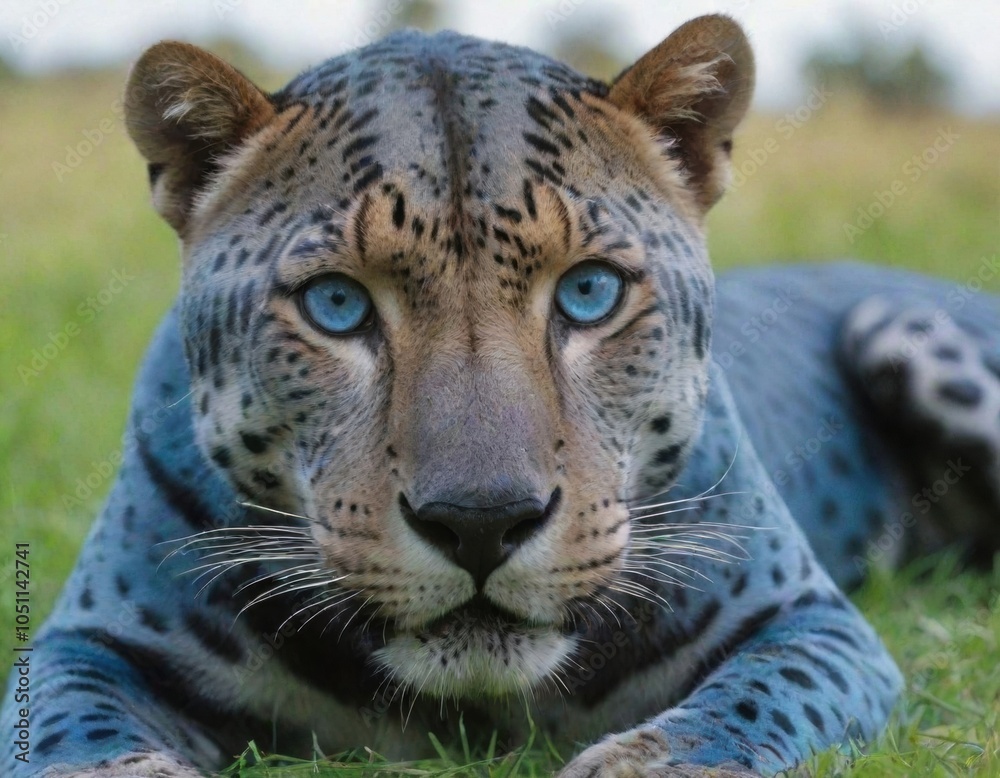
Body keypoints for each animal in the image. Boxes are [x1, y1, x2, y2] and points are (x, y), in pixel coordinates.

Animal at [4, 14, 999, 778]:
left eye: (590, 292)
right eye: (337, 305)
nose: (481, 523)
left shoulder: (810, 623)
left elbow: (744, 708)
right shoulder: (82, 641)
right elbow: (76, 742)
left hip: (900, 325)